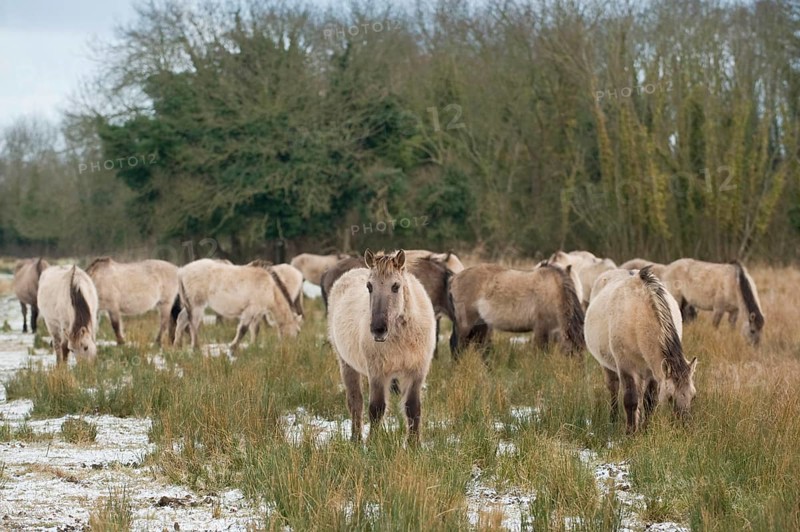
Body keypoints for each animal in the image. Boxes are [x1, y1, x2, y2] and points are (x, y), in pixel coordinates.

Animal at [327, 250, 436, 445]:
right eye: (369, 286)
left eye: (396, 286)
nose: (378, 329)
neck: (401, 336)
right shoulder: (378, 373)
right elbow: (376, 409)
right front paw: (373, 445)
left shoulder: (416, 372)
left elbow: (413, 408)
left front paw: (414, 445)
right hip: (346, 365)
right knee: (355, 402)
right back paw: (356, 440)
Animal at [448, 262, 585, 358]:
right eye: (571, 354)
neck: (555, 291)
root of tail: (455, 278)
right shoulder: (541, 328)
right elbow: (541, 353)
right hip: (465, 324)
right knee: (457, 346)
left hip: (481, 324)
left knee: (480, 348)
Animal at [584, 267, 698, 433]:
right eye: (670, 397)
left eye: (693, 396)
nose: (684, 429)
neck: (638, 316)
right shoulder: (626, 366)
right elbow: (630, 400)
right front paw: (631, 433)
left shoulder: (653, 371)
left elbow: (649, 401)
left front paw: (645, 429)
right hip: (607, 366)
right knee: (613, 389)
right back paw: (613, 420)